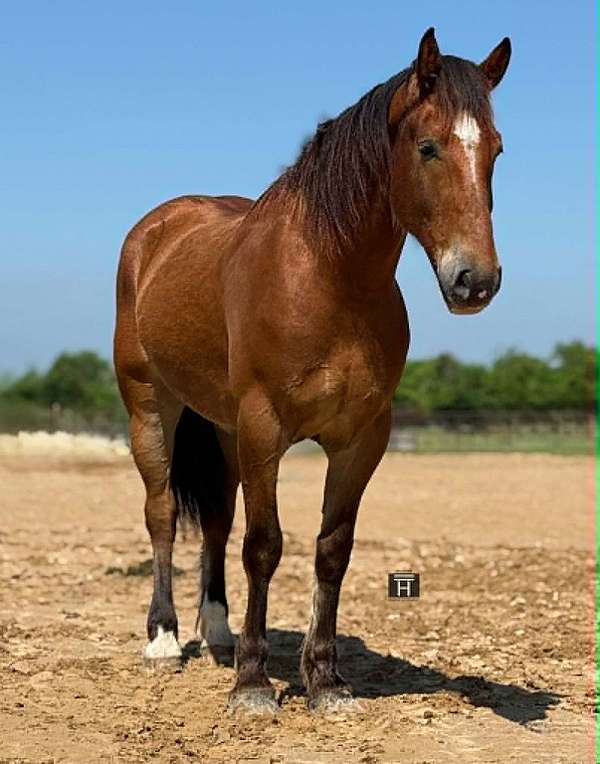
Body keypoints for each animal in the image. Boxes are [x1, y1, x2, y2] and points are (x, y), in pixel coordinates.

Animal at [114, 28, 511, 713]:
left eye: (496, 149)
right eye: (428, 147)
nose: (475, 281)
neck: (331, 280)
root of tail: (157, 230)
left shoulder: (361, 438)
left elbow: (332, 549)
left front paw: (324, 679)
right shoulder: (264, 425)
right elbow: (265, 546)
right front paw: (252, 683)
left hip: (222, 428)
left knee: (215, 519)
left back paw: (216, 631)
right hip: (152, 408)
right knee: (163, 512)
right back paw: (163, 639)